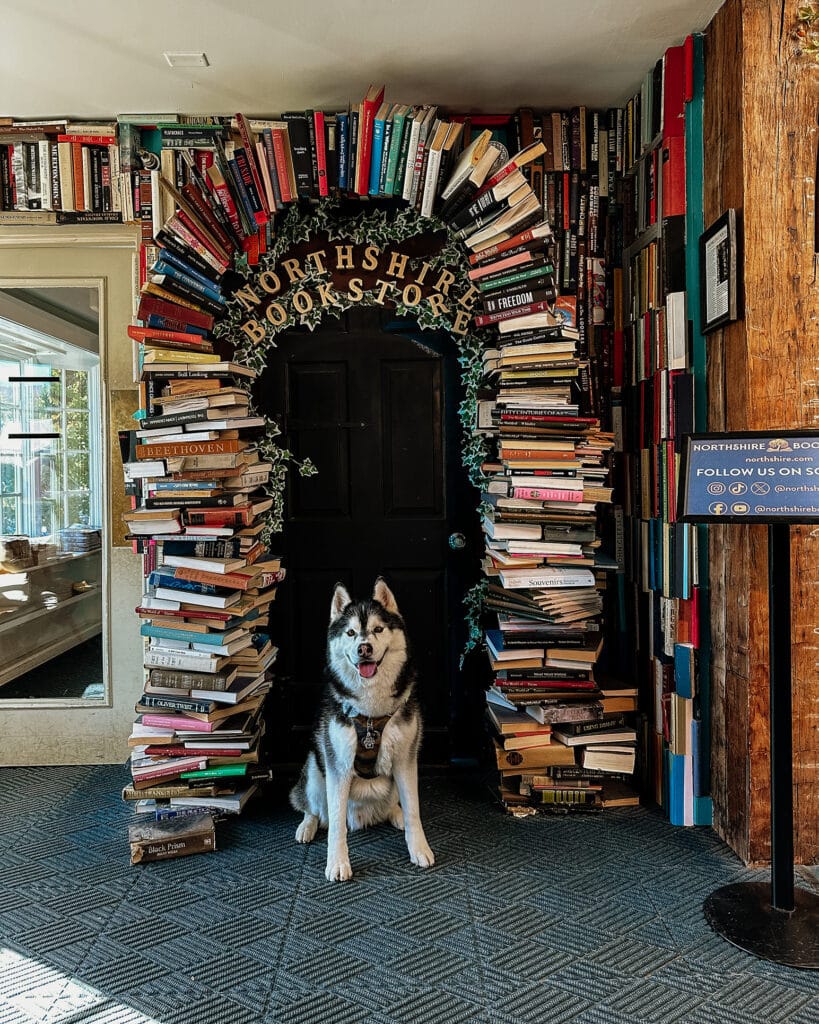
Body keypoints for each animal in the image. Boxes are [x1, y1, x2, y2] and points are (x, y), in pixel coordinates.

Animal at [290, 577, 438, 880]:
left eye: (378, 629)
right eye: (350, 633)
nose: (364, 648)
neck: (371, 713)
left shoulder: (406, 760)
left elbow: (414, 810)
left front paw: (419, 848)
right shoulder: (337, 765)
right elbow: (335, 825)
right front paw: (337, 862)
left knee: (394, 804)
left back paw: (395, 814)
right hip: (315, 770)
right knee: (315, 810)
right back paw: (307, 827)